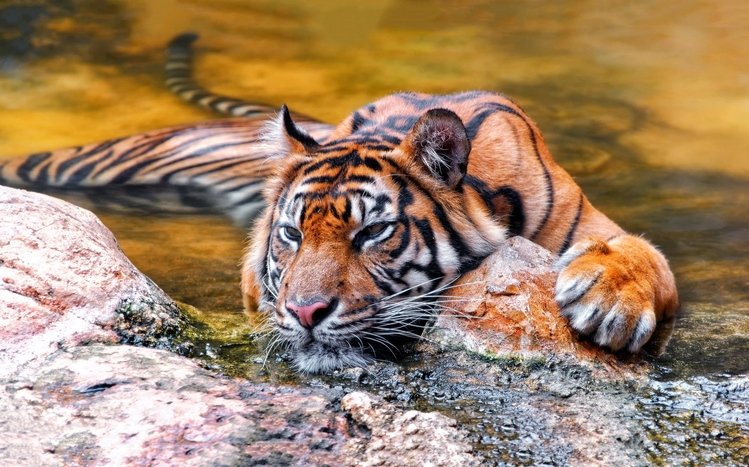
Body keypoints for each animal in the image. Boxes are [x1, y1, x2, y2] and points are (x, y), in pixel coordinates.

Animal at [0, 33, 679, 373]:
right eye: (292, 235)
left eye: (371, 233)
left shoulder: (591, 224)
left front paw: (611, 308)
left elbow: (644, 255)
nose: (305, 314)